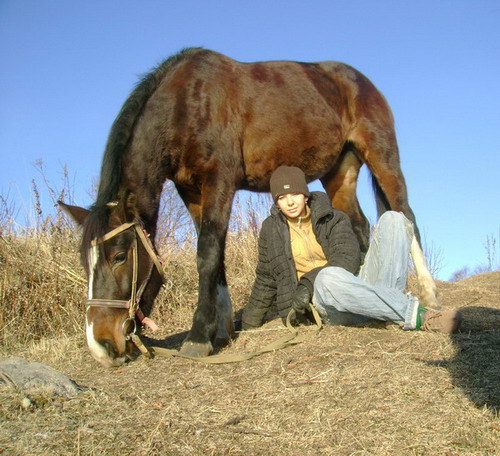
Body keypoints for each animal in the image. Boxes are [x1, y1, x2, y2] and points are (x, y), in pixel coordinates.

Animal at [60, 47, 440, 366]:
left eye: (119, 256)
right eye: (85, 262)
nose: (101, 345)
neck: (186, 103)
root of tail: (357, 80)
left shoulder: (219, 181)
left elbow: (207, 252)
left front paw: (198, 337)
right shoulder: (191, 190)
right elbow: (215, 256)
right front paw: (222, 329)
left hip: (382, 155)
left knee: (406, 215)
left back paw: (429, 293)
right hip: (338, 172)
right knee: (359, 227)